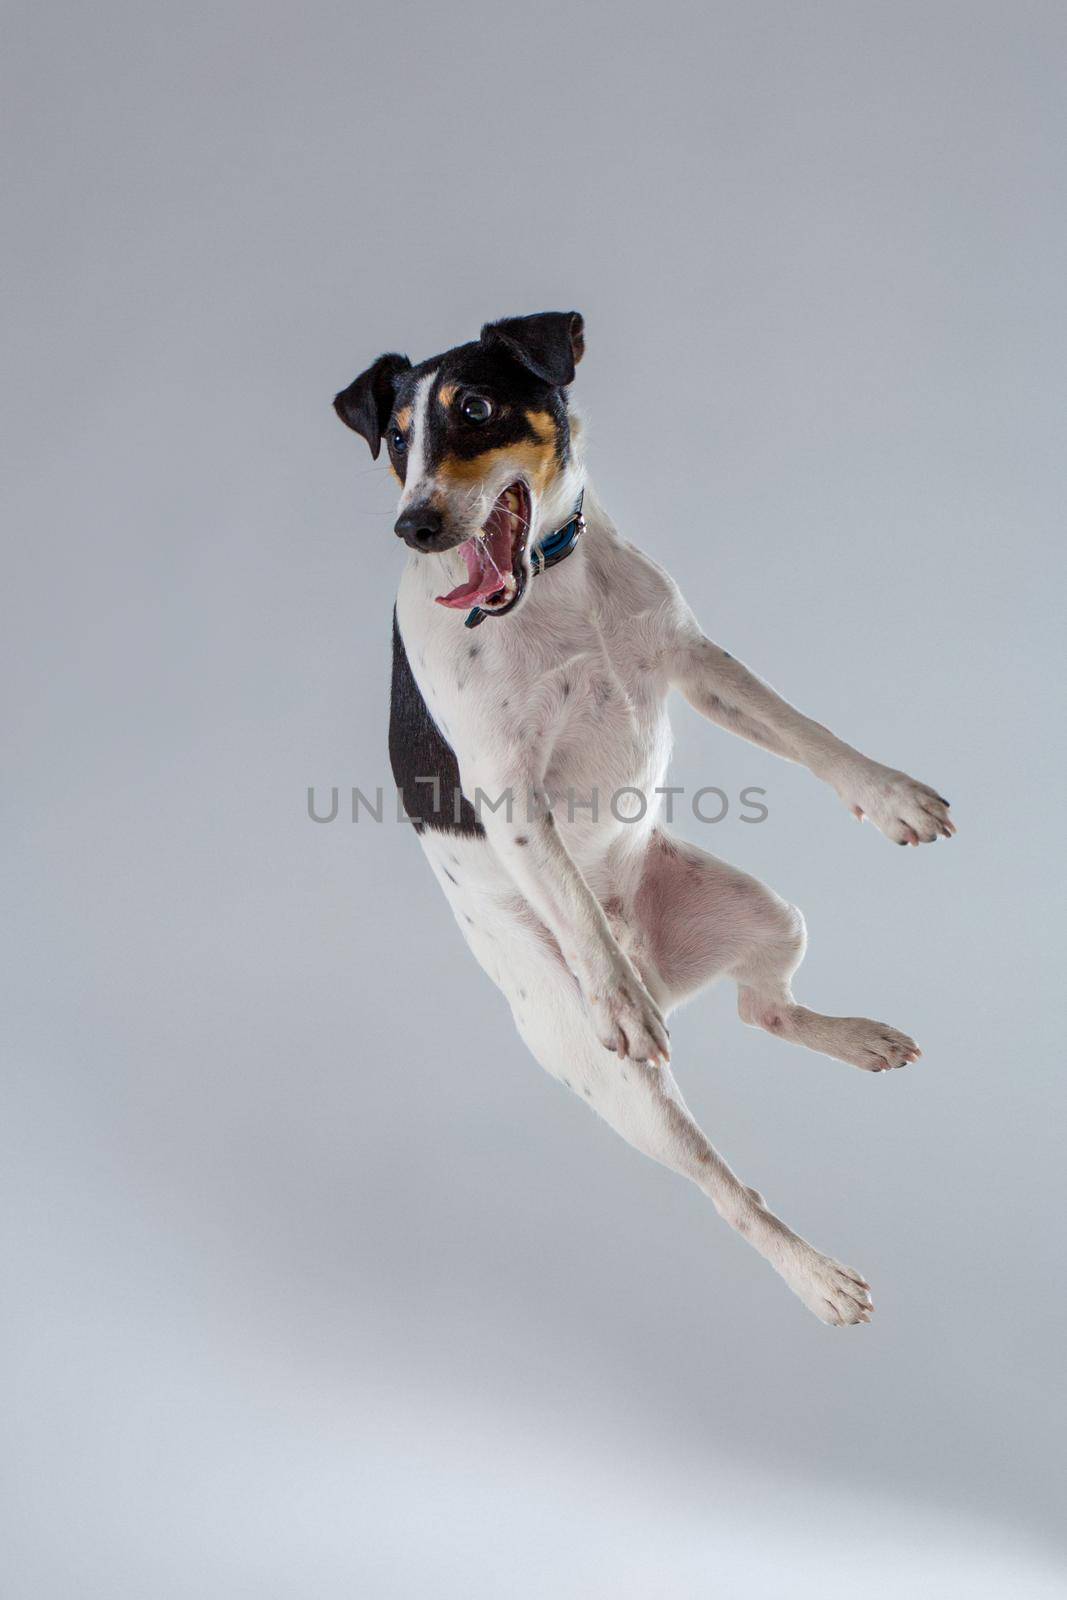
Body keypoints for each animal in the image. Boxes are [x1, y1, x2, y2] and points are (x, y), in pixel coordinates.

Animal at [335, 312, 959, 1324]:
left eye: (475, 408)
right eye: (395, 440)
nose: (413, 524)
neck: (551, 593)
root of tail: (664, 966)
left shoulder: (694, 664)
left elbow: (805, 731)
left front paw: (888, 792)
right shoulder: (507, 788)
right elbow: (573, 906)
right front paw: (617, 997)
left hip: (769, 912)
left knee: (764, 1011)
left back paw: (853, 1038)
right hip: (615, 1079)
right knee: (724, 1186)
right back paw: (814, 1274)